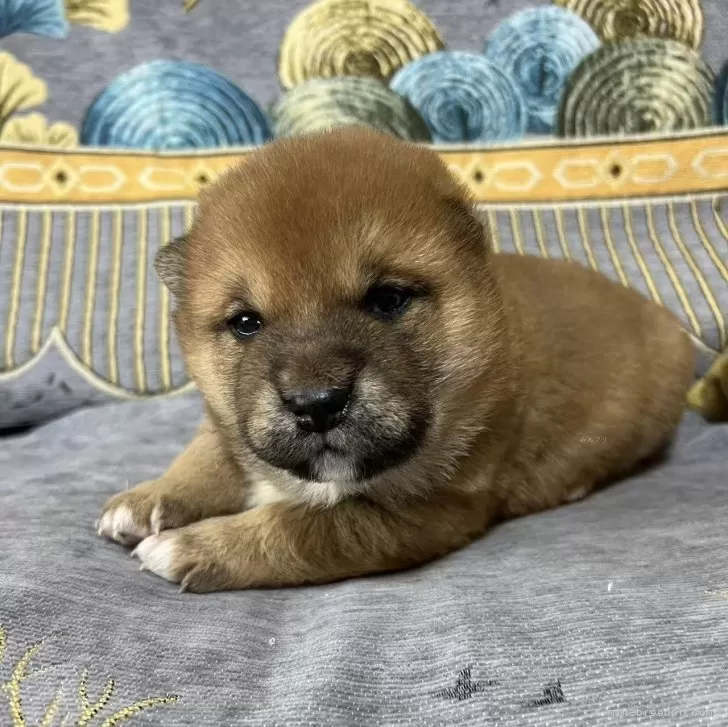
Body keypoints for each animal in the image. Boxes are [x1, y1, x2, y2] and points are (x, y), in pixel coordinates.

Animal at [96, 126, 692, 592]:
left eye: (388, 299)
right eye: (246, 322)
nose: (317, 404)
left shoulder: (426, 510)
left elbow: (303, 528)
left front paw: (194, 547)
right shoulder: (231, 422)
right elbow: (212, 451)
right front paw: (150, 497)